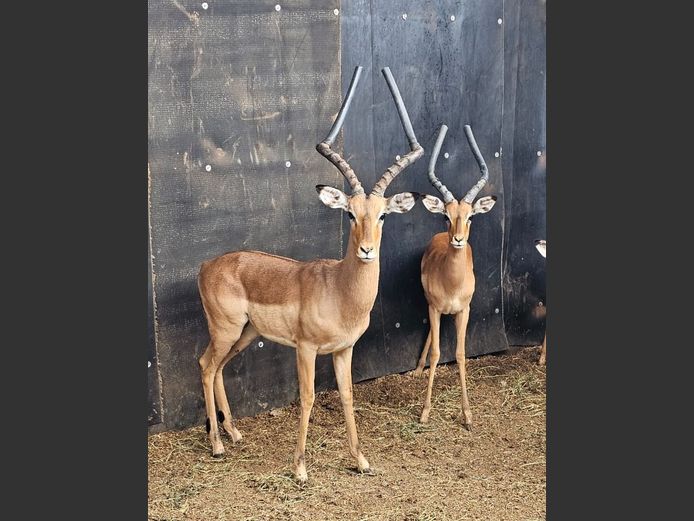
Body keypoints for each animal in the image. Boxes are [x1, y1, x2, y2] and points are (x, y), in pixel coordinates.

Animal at [196, 66, 423, 482]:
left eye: (383, 215)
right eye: (349, 213)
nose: (367, 250)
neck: (339, 292)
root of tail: (207, 266)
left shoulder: (344, 349)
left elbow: (347, 395)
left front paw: (361, 460)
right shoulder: (305, 348)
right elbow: (307, 397)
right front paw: (300, 467)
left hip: (245, 333)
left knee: (217, 368)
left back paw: (233, 433)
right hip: (226, 329)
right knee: (206, 366)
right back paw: (217, 446)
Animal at [413, 124, 497, 429]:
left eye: (470, 216)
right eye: (446, 216)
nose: (458, 239)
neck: (451, 283)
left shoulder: (464, 310)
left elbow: (460, 354)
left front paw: (468, 415)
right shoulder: (435, 308)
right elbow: (438, 353)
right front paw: (425, 413)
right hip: (430, 305)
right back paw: (417, 369)